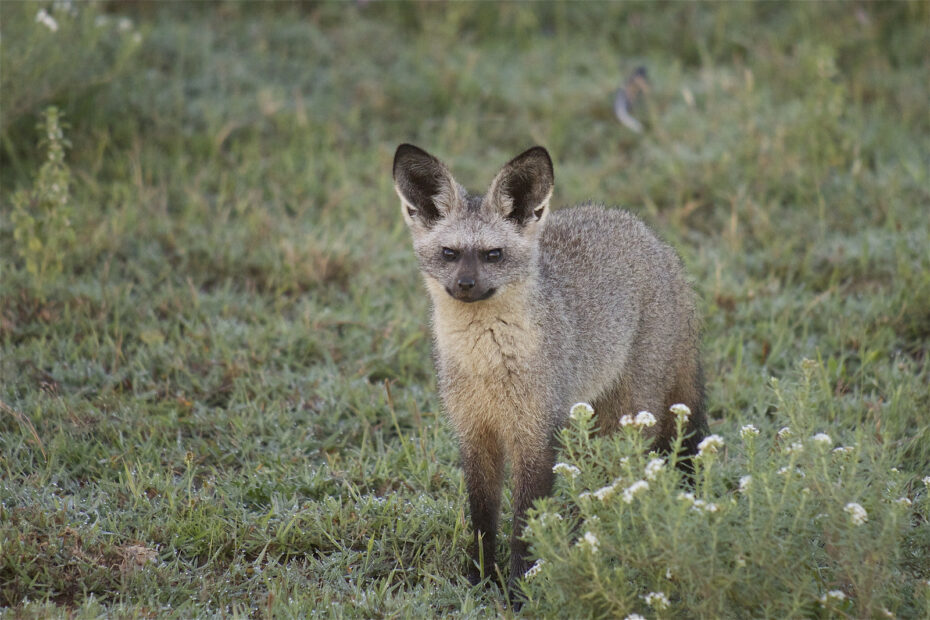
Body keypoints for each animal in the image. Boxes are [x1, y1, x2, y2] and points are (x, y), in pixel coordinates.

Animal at [392, 143, 709, 591]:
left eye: (493, 255)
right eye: (449, 254)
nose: (465, 286)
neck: (487, 365)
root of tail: (652, 239)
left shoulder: (536, 435)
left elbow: (525, 524)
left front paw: (521, 588)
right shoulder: (475, 433)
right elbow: (482, 519)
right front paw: (479, 579)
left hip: (630, 413)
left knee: (632, 471)